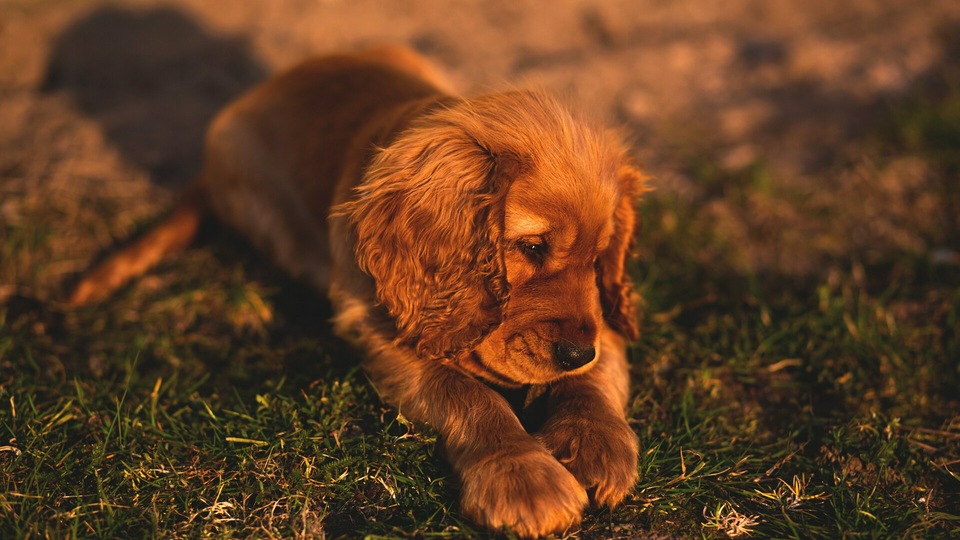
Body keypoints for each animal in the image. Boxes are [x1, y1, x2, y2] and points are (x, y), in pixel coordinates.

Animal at [69, 47, 644, 540]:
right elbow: (467, 392)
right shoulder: (376, 325)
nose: (574, 352)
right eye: (530, 246)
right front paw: (524, 479)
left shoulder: (602, 320)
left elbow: (597, 372)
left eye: (599, 259)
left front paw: (596, 444)